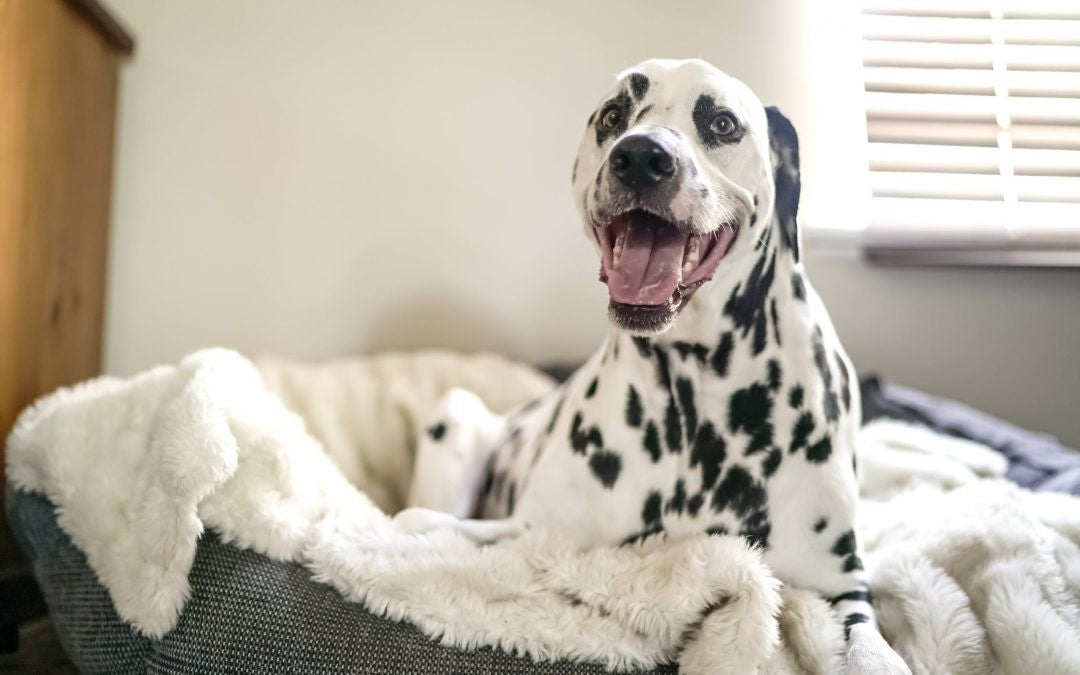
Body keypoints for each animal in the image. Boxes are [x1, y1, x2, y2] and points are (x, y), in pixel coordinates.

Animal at [401, 59, 915, 673]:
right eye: (613, 115)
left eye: (722, 122)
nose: (642, 156)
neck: (695, 398)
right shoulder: (530, 533)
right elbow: (419, 526)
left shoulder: (838, 585)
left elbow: (871, 651)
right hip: (455, 413)